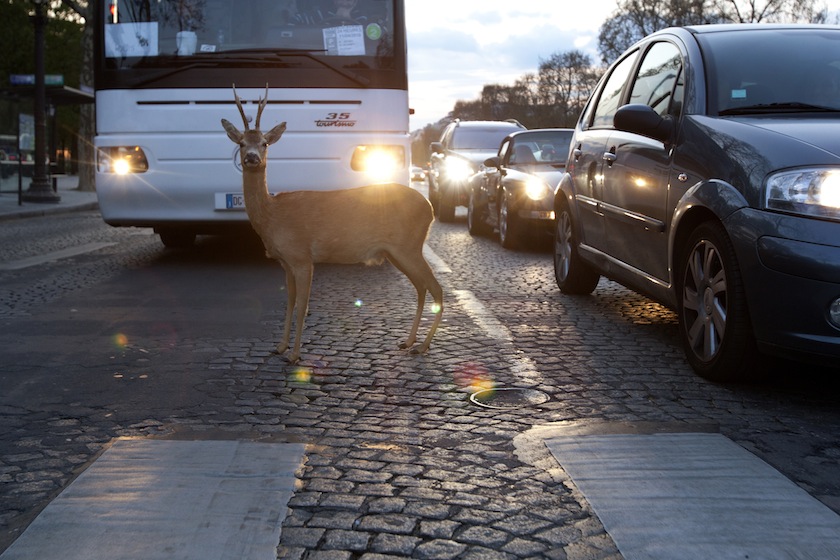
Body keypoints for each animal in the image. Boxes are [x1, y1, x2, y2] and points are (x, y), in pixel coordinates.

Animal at [221, 85, 443, 364]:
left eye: (264, 143)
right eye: (241, 143)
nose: (251, 157)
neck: (273, 216)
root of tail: (430, 208)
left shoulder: (302, 256)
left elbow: (303, 304)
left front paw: (294, 354)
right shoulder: (285, 261)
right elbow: (290, 301)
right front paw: (280, 347)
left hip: (409, 245)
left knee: (436, 288)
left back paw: (422, 346)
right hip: (397, 251)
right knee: (422, 287)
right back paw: (409, 341)